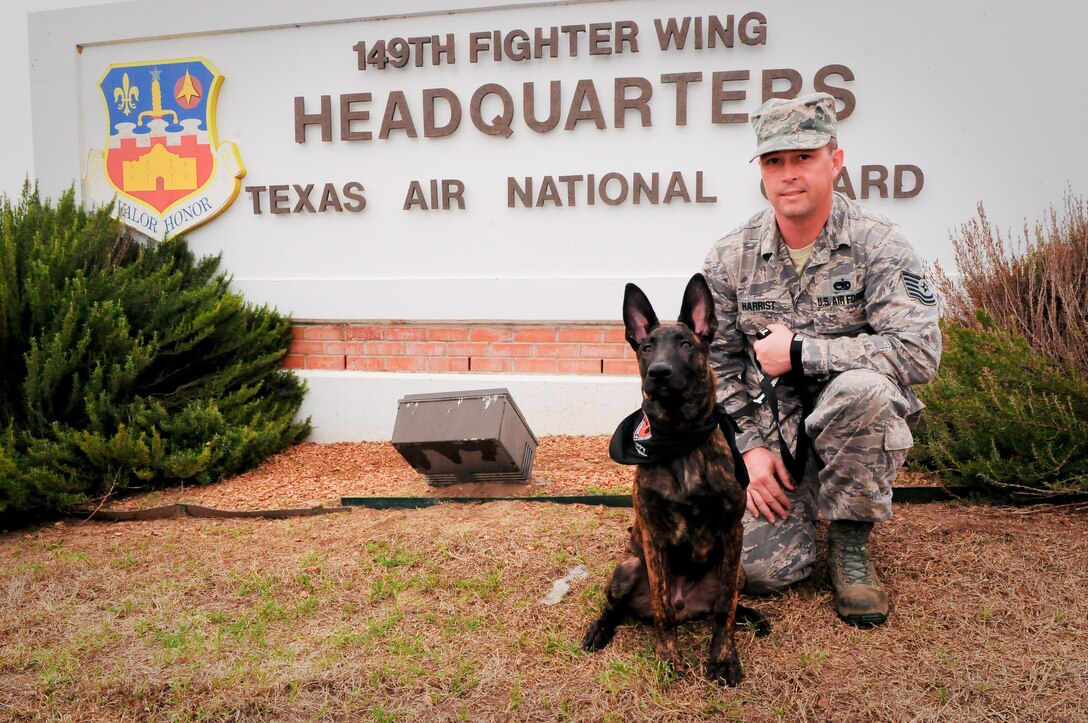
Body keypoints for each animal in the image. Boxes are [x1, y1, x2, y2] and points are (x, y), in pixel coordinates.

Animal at [583, 271, 770, 682]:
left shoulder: (732, 531)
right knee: (619, 608)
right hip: (628, 567)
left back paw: (754, 617)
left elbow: (725, 608)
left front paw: (723, 658)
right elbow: (662, 608)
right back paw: (599, 630)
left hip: (739, 571)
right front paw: (669, 657)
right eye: (646, 347)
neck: (681, 438)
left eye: (686, 344)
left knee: (730, 602)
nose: (659, 373)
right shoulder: (654, 538)